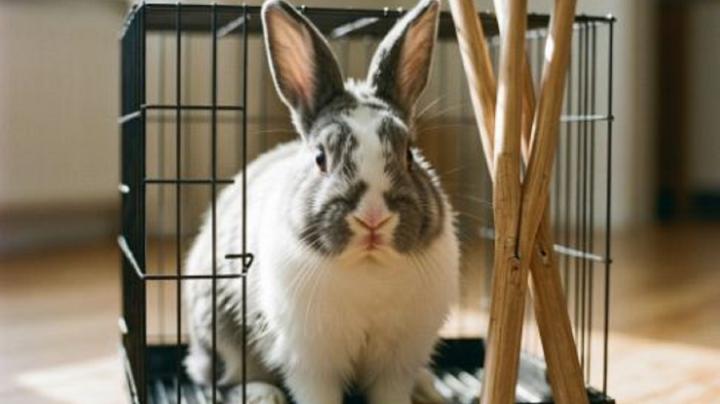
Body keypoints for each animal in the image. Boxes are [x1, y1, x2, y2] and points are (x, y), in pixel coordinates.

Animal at [183, 0, 460, 403]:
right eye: (320, 158)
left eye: (410, 154)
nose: (373, 218)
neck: (368, 266)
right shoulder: (312, 361)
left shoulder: (396, 363)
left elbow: (391, 392)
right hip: (219, 329)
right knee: (223, 379)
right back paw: (263, 394)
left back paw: (429, 390)